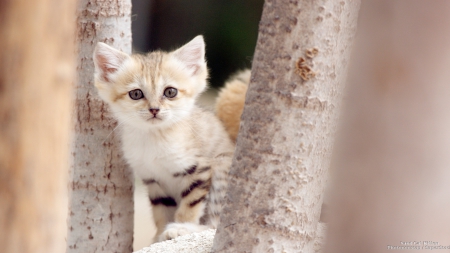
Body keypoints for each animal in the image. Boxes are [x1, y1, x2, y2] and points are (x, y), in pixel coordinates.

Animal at [90, 35, 232, 241]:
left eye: (170, 92)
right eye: (136, 94)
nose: (154, 109)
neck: (154, 138)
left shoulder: (200, 169)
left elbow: (190, 206)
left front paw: (180, 228)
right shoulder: (153, 180)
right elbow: (161, 212)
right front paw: (159, 236)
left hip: (222, 168)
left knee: (214, 225)